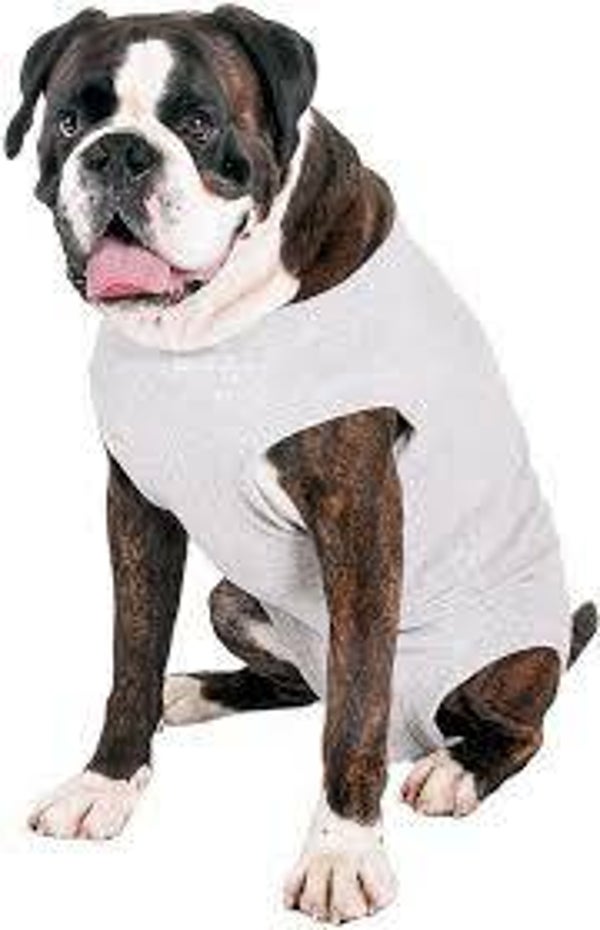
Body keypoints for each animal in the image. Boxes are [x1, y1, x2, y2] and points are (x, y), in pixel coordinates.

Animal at [6, 5, 597, 924]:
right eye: (70, 123)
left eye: (199, 123)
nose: (117, 154)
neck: (208, 332)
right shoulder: (136, 507)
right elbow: (129, 652)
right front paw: (107, 780)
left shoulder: (358, 515)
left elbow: (354, 710)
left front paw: (341, 854)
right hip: (232, 598)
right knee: (300, 685)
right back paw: (192, 690)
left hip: (510, 661)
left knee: (507, 725)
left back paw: (455, 769)